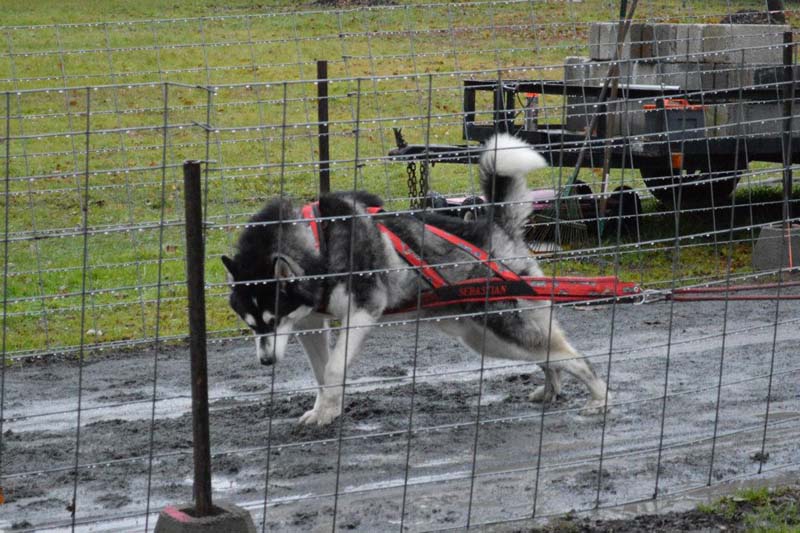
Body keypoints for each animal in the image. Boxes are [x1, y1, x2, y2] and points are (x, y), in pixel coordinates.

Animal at [220, 133, 608, 424]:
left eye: (272, 319)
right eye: (252, 324)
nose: (266, 362)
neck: (318, 240)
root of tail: (495, 226)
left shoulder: (363, 312)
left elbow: (332, 370)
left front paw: (328, 410)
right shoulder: (310, 325)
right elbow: (322, 373)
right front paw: (326, 410)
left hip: (503, 329)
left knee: (572, 357)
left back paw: (599, 398)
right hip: (486, 338)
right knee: (550, 357)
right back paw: (552, 390)